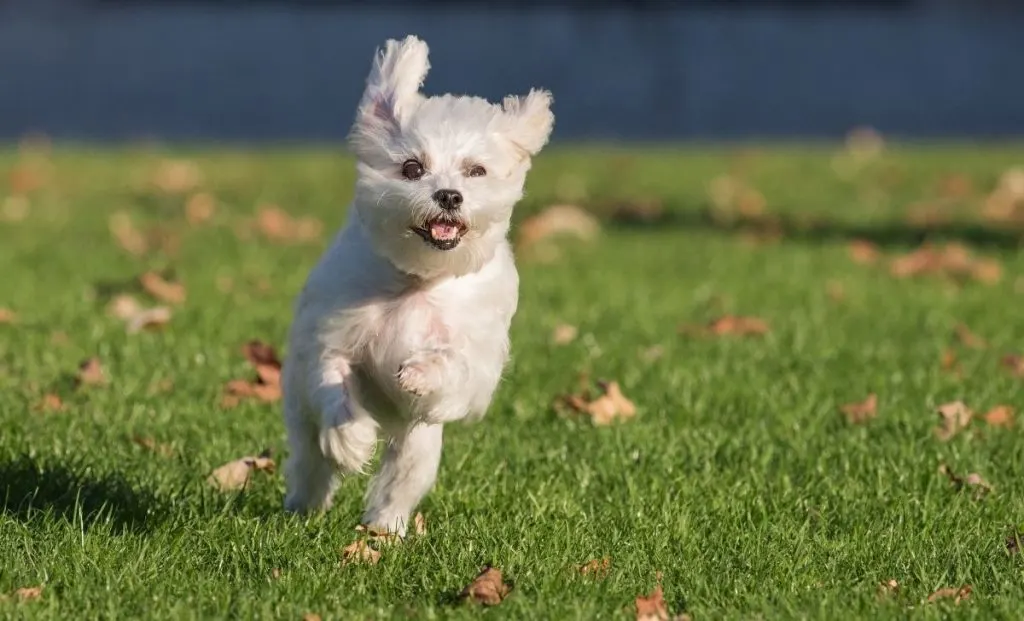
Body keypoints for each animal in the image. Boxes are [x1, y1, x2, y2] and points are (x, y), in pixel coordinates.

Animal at [280, 36, 557, 536]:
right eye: (412, 168)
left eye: (475, 171)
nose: (448, 195)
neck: (418, 278)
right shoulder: (334, 332)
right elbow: (335, 377)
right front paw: (351, 437)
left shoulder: (474, 361)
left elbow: (455, 367)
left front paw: (419, 373)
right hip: (300, 411)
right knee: (311, 459)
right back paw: (305, 504)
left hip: (419, 443)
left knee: (400, 480)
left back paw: (385, 529)